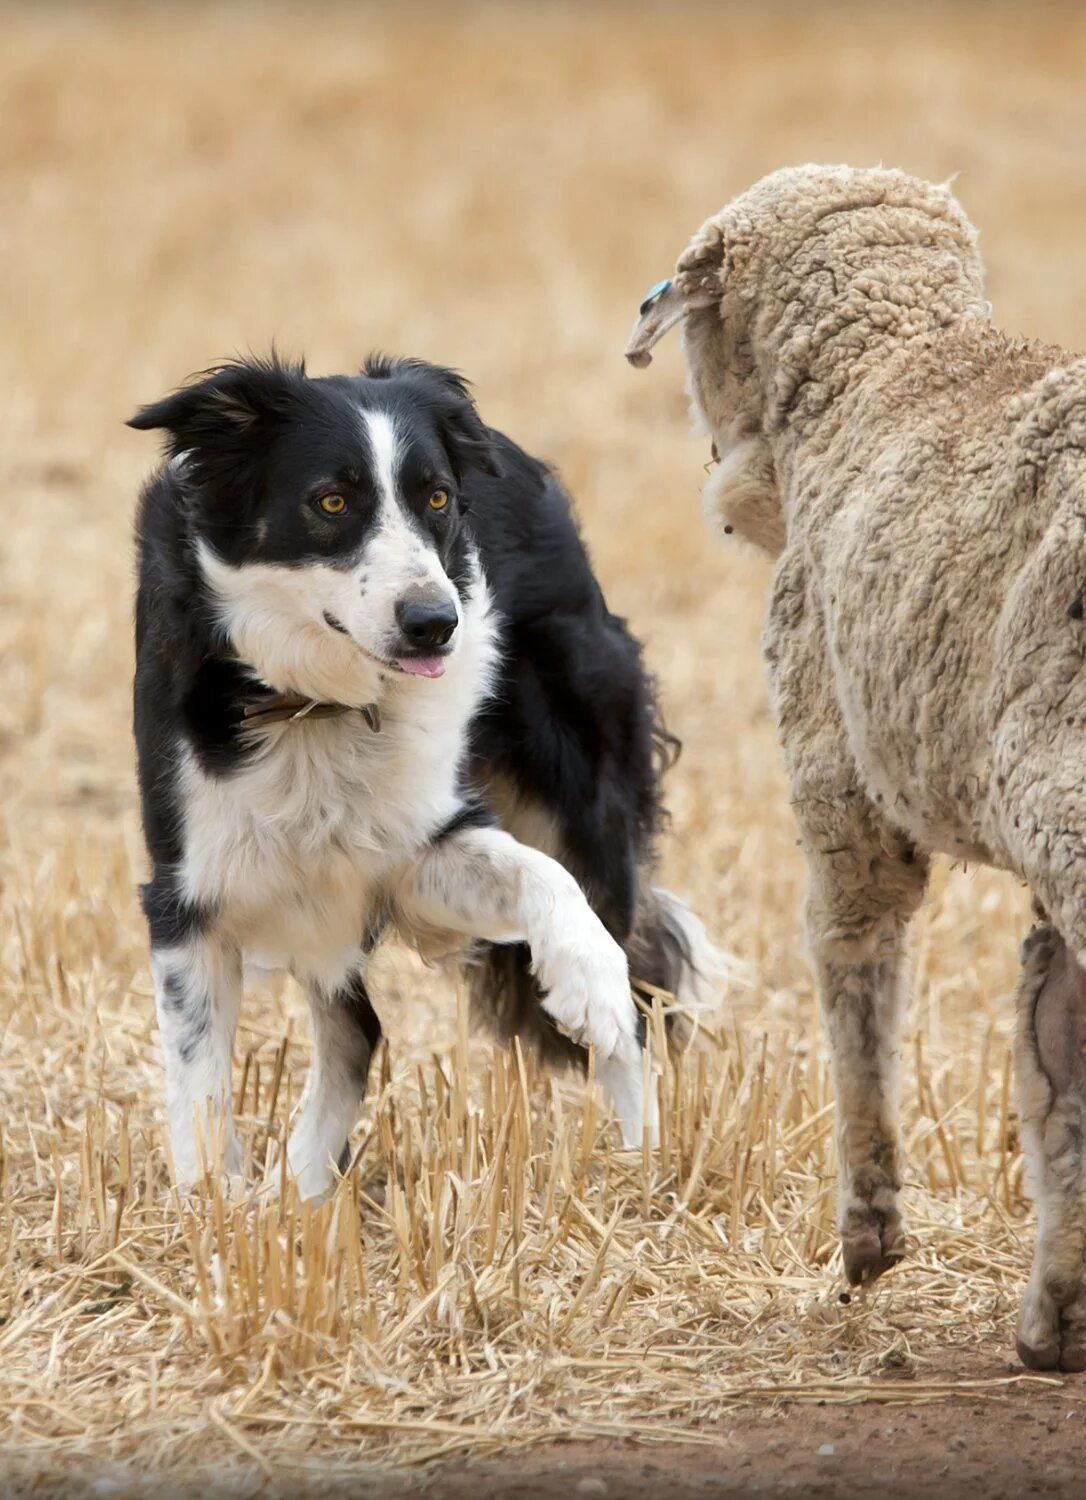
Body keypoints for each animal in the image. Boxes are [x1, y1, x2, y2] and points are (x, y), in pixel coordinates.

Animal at [131, 351, 708, 1194]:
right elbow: (198, 1081)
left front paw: (587, 981)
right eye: (332, 500)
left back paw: (642, 1167)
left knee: (628, 986)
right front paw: (217, 1206)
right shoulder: (191, 892)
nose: (437, 623)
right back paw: (301, 1187)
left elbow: (543, 880)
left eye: (435, 498)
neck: (322, 706)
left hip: (585, 786)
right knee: (353, 1028)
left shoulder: (419, 844)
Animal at [633, 167, 1086, 1374]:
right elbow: (1051, 1068)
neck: (892, 367)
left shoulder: (838, 777)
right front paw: (1055, 1318)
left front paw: (871, 1232)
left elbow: (854, 968)